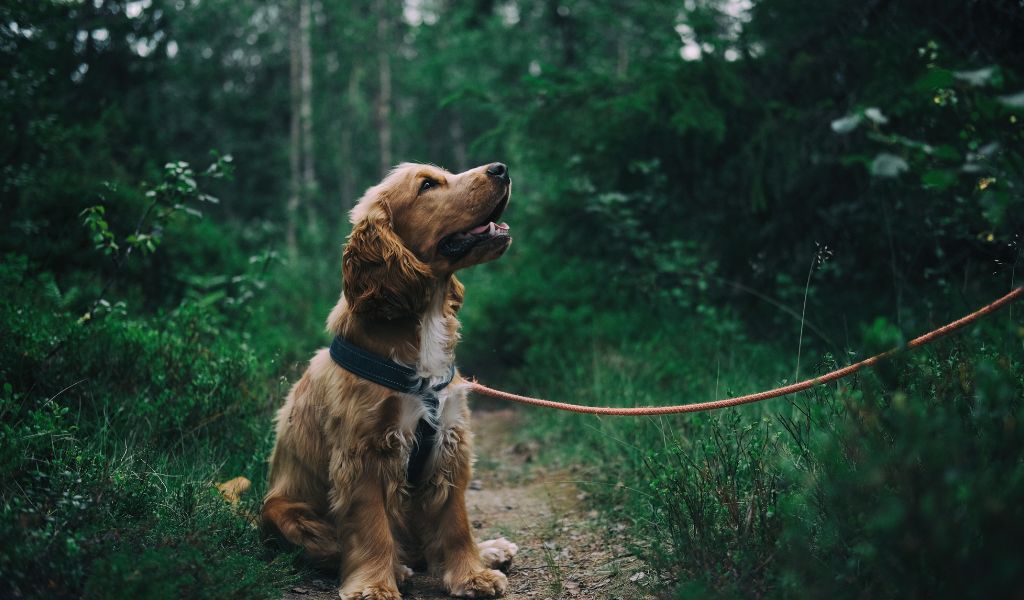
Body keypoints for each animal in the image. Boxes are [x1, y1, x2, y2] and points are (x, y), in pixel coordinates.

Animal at [264, 160, 520, 593]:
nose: (500, 168)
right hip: (286, 514)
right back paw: (398, 568)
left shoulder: (450, 441)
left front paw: (472, 574)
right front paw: (374, 586)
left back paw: (489, 550)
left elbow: (455, 522)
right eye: (428, 185)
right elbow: (371, 528)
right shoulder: (364, 453)